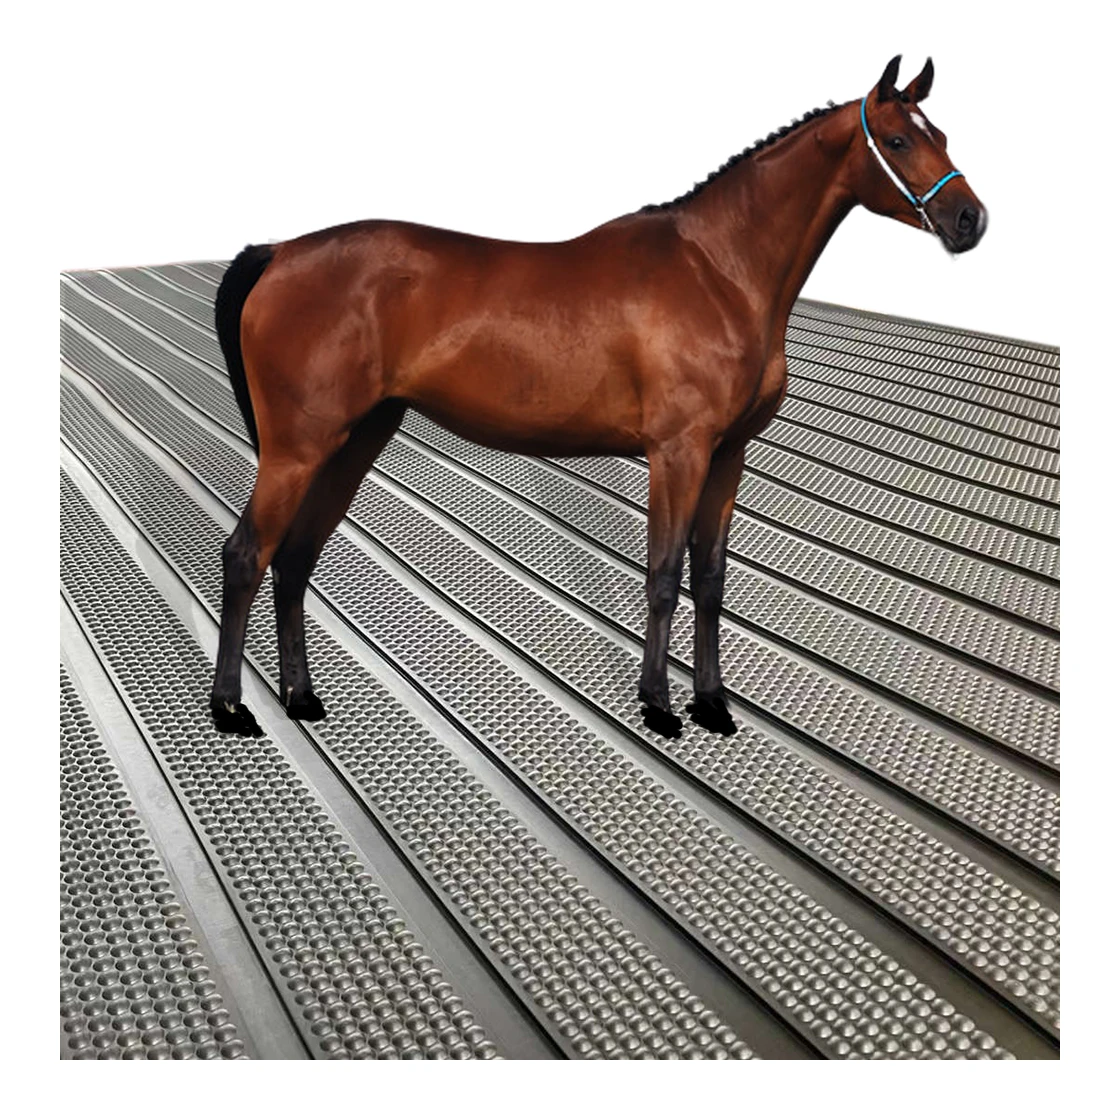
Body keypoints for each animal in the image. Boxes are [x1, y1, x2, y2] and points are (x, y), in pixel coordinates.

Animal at [209, 55, 987, 741]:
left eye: (944, 135)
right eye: (897, 140)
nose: (970, 221)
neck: (720, 271)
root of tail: (279, 253)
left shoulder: (729, 455)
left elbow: (711, 580)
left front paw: (713, 706)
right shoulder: (678, 452)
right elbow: (665, 576)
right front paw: (660, 708)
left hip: (355, 440)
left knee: (295, 559)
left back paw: (302, 699)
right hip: (298, 449)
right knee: (248, 555)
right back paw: (230, 709)